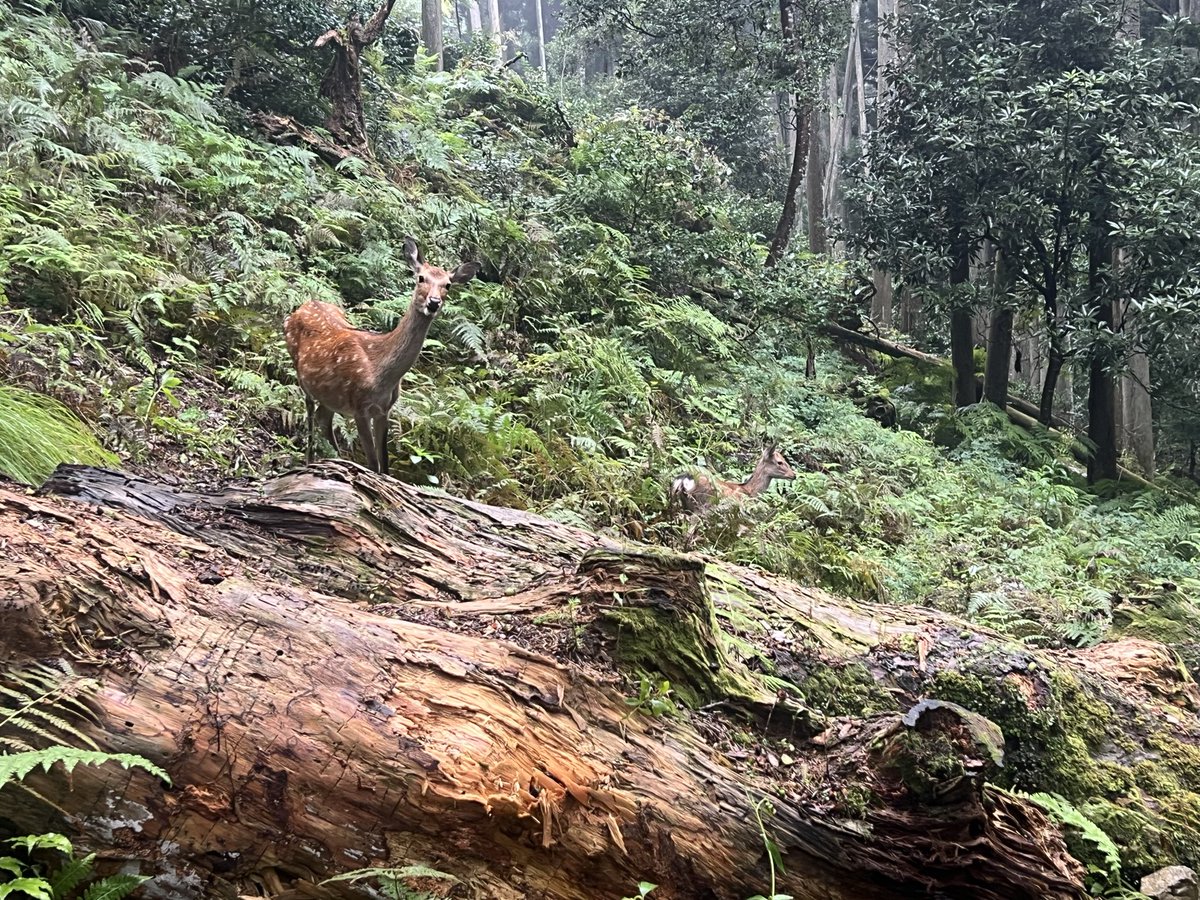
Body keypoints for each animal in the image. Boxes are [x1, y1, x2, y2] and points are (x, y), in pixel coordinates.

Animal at [284, 237, 479, 476]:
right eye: (421, 278)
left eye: (448, 285)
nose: (433, 302)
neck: (381, 374)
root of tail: (303, 306)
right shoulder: (359, 405)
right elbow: (373, 464)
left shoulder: (384, 410)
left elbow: (383, 466)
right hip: (302, 375)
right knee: (310, 413)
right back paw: (309, 461)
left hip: (330, 394)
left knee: (323, 418)